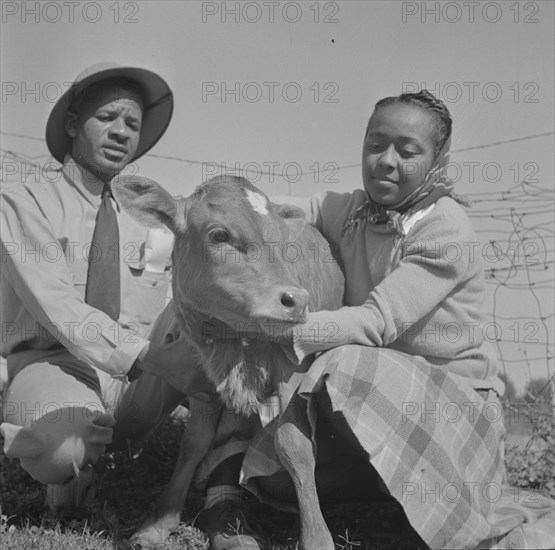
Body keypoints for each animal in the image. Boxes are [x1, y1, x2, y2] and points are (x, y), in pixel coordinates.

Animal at [114, 178, 344, 550]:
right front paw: (159, 521)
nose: (297, 301)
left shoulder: (293, 367)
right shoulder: (203, 372)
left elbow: (293, 445)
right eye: (220, 235)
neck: (236, 339)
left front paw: (316, 538)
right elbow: (194, 442)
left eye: (284, 243)